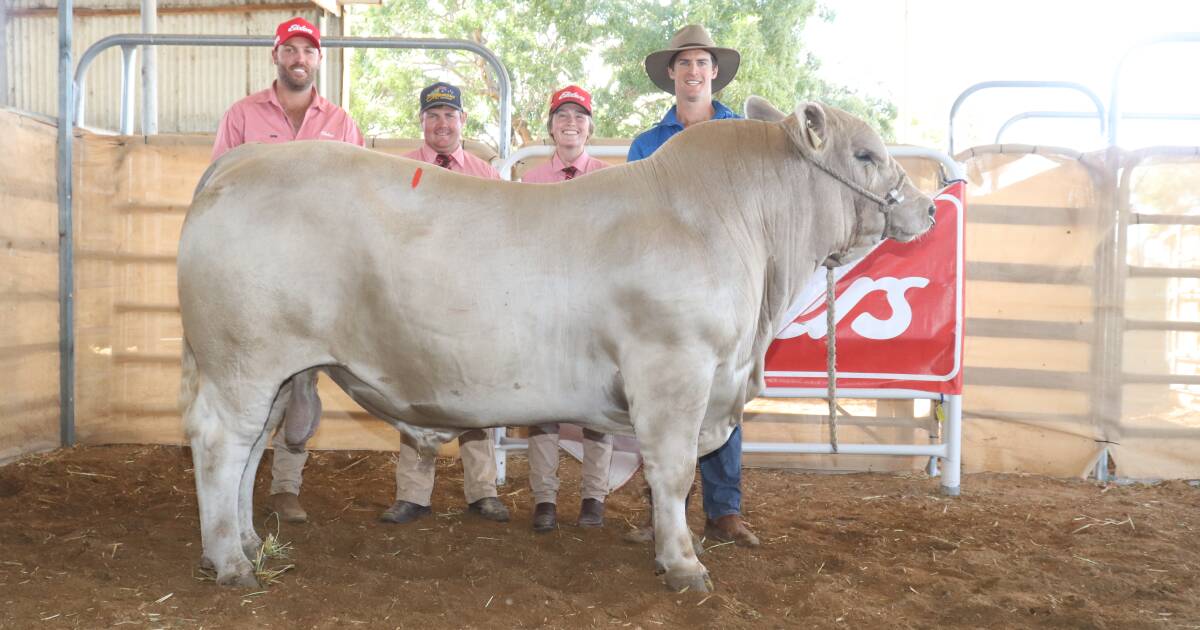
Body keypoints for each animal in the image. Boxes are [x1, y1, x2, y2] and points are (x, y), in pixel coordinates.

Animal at [175, 97, 936, 590]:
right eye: (866, 154)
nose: (929, 206)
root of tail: (242, 161)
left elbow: (677, 478)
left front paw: (671, 547)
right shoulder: (675, 371)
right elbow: (673, 473)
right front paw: (685, 565)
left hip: (271, 373)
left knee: (251, 448)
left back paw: (248, 540)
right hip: (244, 360)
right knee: (220, 442)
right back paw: (231, 563)